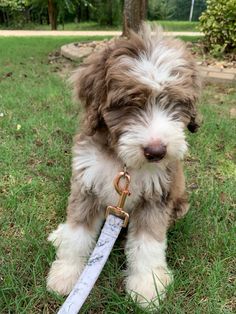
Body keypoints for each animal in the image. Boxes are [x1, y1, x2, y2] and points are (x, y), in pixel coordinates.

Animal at [46, 23, 201, 306]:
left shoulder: (157, 194)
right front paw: (67, 275)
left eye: (175, 104)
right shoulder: (86, 182)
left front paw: (147, 285)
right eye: (130, 104)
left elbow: (148, 243)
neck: (123, 162)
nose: (156, 152)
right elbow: (78, 234)